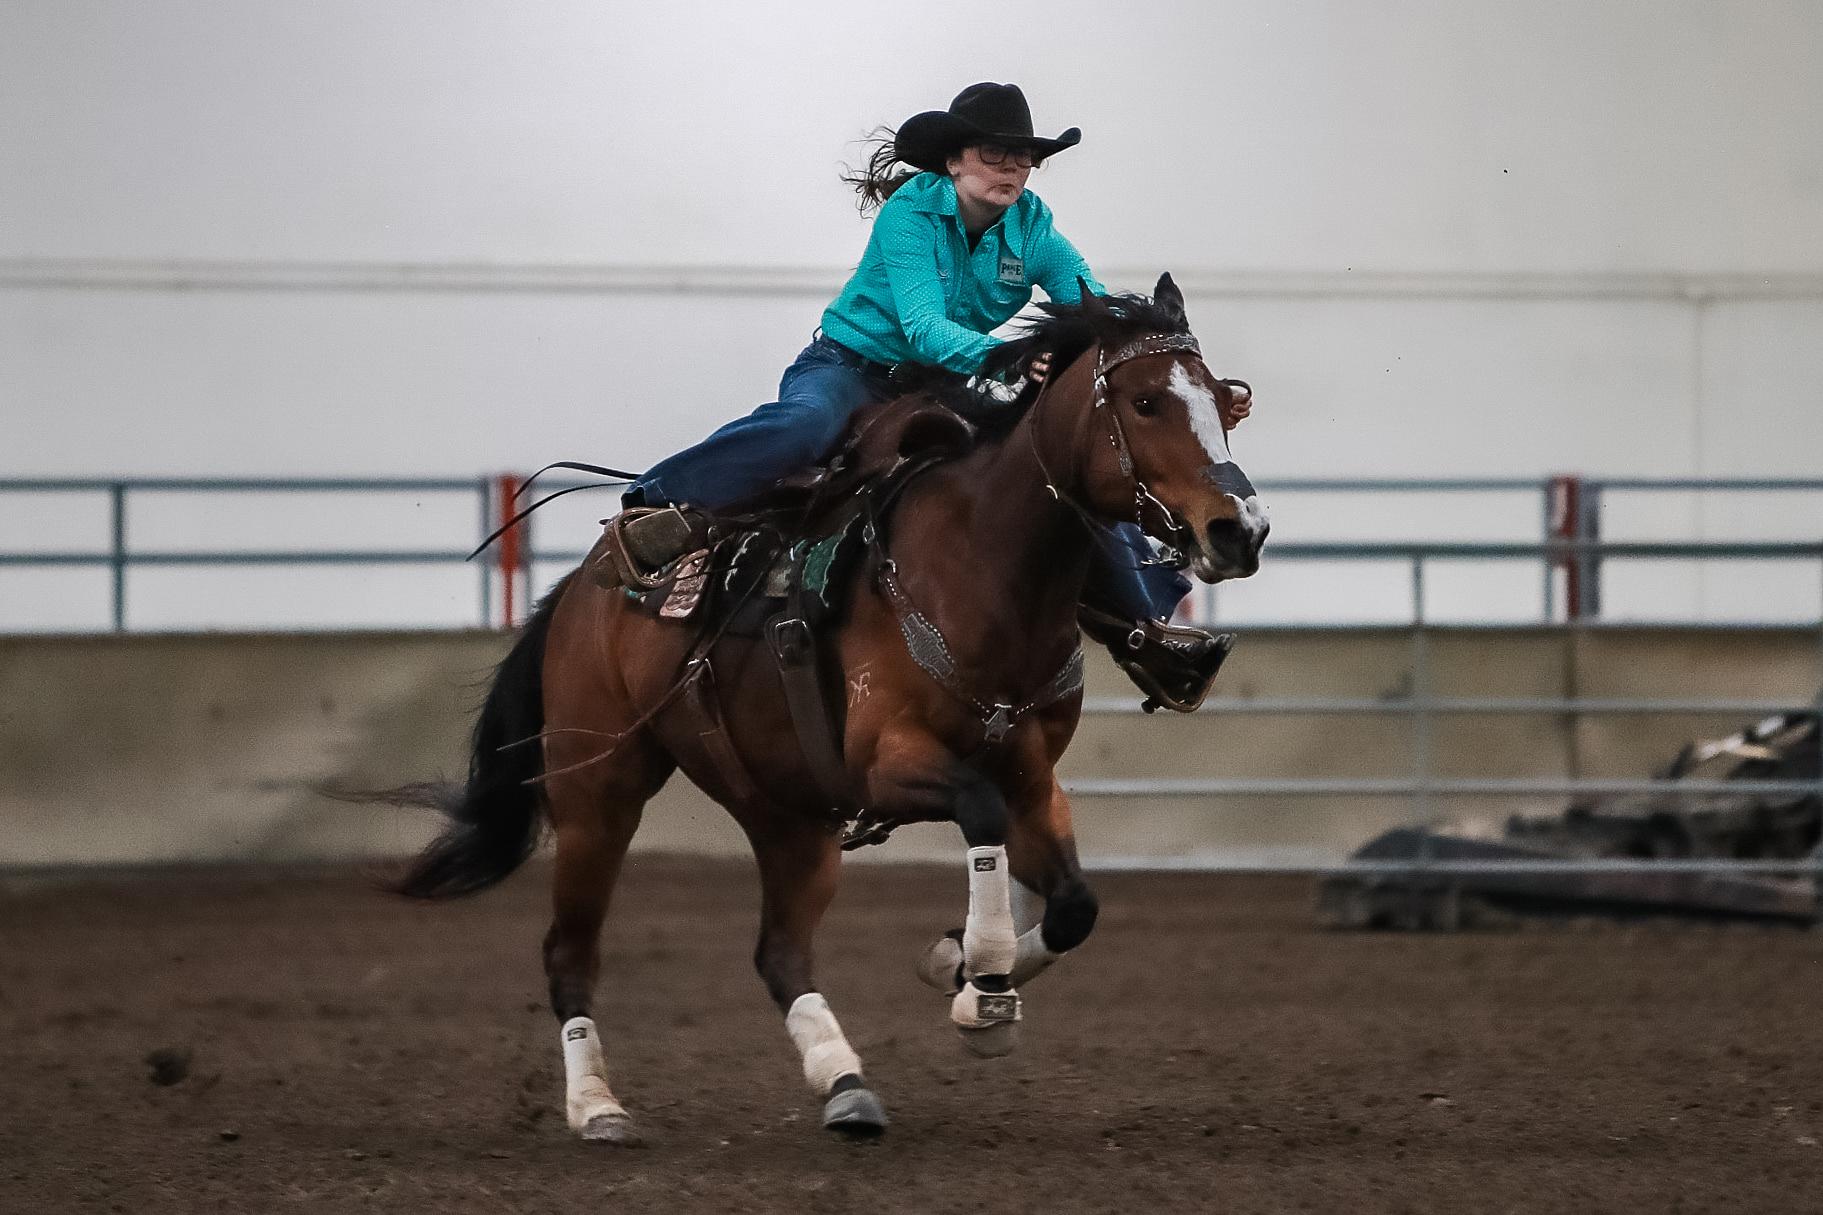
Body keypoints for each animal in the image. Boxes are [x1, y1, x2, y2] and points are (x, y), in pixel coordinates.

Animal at [389, 273, 1268, 1144]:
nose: (1241, 530)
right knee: (569, 950)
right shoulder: (887, 763)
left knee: (779, 952)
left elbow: (1076, 903)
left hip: (789, 817)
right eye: (1146, 402)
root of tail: (579, 587)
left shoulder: (1031, 776)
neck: (979, 570)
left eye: (1223, 405)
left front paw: (961, 971)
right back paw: (598, 1106)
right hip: (597, 792)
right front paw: (982, 975)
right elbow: (979, 813)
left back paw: (843, 1082)